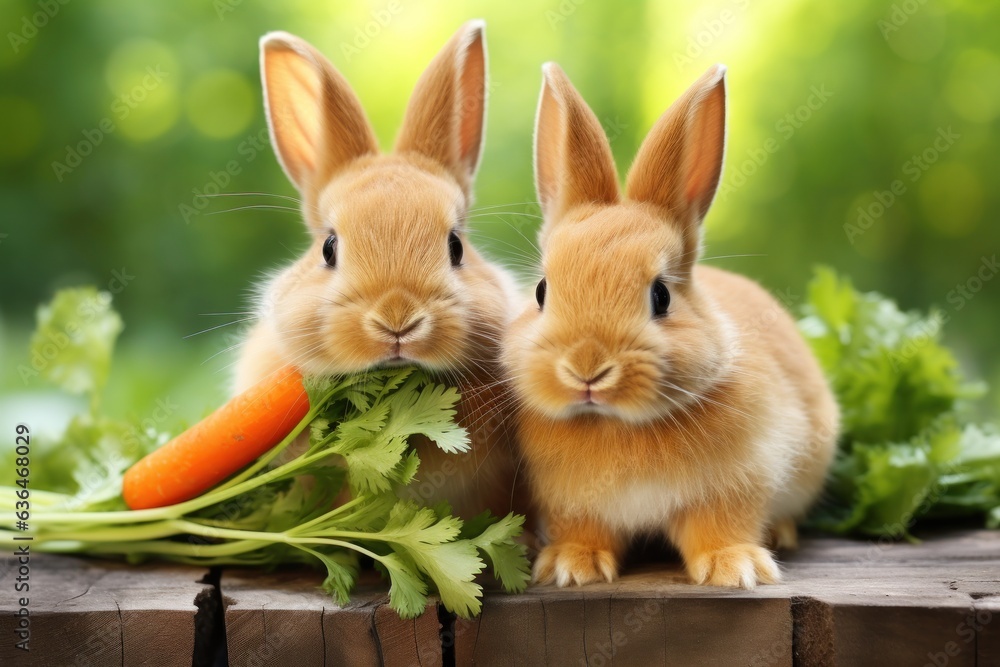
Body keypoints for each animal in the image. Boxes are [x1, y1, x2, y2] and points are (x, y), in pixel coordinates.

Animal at [504, 64, 840, 588]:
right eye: (541, 292)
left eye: (660, 296)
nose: (586, 368)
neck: (615, 425)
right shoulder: (569, 503)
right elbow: (583, 529)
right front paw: (571, 566)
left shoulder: (736, 484)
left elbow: (720, 526)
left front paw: (735, 568)